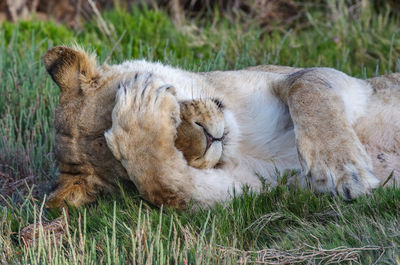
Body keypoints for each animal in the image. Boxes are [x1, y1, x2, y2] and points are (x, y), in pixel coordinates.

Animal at [42, 45, 398, 207]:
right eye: (124, 174)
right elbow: (165, 183)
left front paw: (342, 169)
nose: (210, 138)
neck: (242, 139)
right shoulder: (261, 186)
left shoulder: (341, 83)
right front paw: (137, 128)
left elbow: (307, 87)